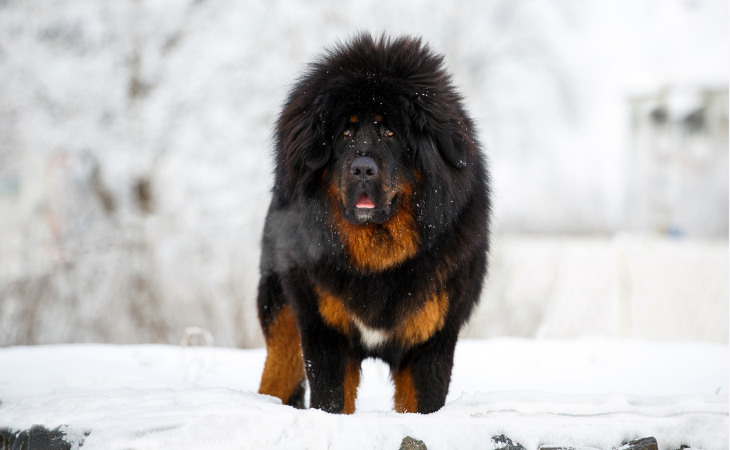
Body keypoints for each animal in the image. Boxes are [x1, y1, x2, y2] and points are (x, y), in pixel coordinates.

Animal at [256, 34, 490, 414]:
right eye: (345, 133)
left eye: (391, 132)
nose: (363, 168)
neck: (378, 257)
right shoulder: (324, 330)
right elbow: (332, 399)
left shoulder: (430, 338)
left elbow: (422, 402)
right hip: (282, 314)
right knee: (279, 370)